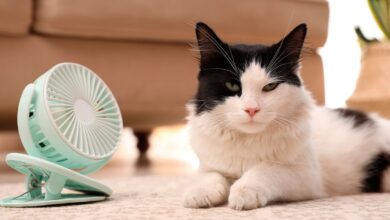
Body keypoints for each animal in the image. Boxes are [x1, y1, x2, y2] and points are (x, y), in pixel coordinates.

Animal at [182, 21, 390, 210]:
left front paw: (244, 191)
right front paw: (199, 192)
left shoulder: (307, 175)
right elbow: (208, 174)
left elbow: (266, 169)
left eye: (270, 86)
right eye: (232, 86)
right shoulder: (207, 164)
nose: (252, 109)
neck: (248, 141)